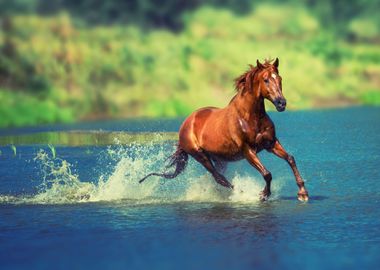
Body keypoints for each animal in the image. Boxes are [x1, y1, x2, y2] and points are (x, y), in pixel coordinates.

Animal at [140, 59, 308, 202]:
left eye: (279, 79)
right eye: (266, 79)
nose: (281, 103)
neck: (250, 117)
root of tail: (185, 125)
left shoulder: (271, 143)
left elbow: (290, 159)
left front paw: (302, 193)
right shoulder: (248, 150)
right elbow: (267, 173)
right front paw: (263, 194)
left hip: (219, 158)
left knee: (218, 177)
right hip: (200, 155)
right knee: (219, 178)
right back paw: (240, 193)